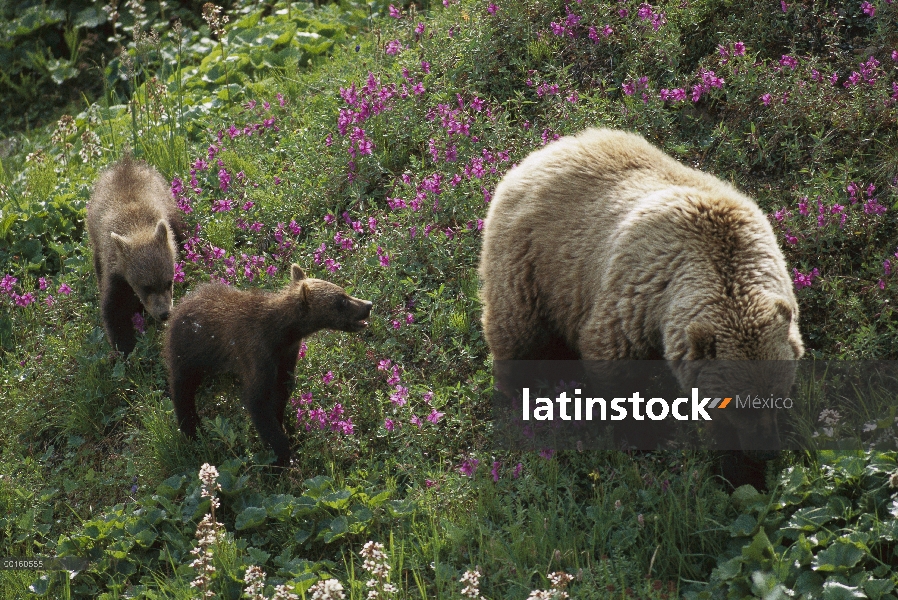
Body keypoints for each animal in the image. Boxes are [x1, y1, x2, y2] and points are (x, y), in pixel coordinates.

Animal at [86, 154, 186, 356]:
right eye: (146, 286)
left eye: (169, 282)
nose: (165, 313)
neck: (137, 227)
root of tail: (127, 162)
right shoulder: (116, 271)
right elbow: (114, 309)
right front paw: (125, 348)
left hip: (169, 203)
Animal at [162, 264, 372, 466]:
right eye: (342, 301)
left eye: (344, 292)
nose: (368, 305)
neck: (282, 334)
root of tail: (180, 305)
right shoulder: (256, 352)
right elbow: (258, 400)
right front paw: (283, 455)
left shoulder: (287, 354)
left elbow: (281, 390)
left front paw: (283, 427)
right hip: (188, 350)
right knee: (181, 388)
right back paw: (191, 429)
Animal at [480, 127, 800, 482]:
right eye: (738, 403)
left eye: (778, 395)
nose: (766, 450)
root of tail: (543, 151)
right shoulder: (637, 294)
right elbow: (613, 362)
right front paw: (640, 437)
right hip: (533, 259)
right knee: (516, 328)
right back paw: (514, 392)